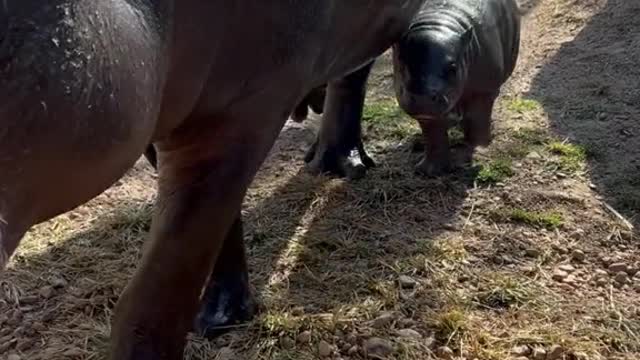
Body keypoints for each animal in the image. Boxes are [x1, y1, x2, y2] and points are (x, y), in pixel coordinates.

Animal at [0, 1, 424, 358]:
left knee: (353, 75)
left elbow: (157, 295)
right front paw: (218, 320)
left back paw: (344, 166)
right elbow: (218, 224)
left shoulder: (245, 111)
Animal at [304, 0, 520, 179]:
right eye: (401, 61)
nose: (422, 97)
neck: (439, 22)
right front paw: (428, 171)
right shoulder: (428, 113)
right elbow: (434, 134)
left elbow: (477, 118)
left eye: (453, 66)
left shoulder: (484, 89)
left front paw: (478, 147)